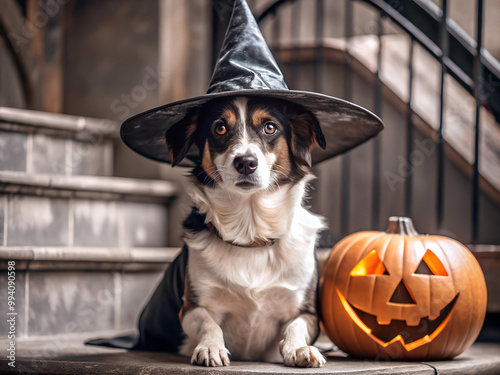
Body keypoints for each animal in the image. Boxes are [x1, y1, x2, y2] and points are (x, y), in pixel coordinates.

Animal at [164, 95, 328, 368]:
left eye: (270, 128)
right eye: (219, 128)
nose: (246, 163)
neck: (252, 235)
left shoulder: (307, 311)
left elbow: (296, 325)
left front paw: (299, 348)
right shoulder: (190, 307)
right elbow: (208, 322)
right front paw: (210, 347)